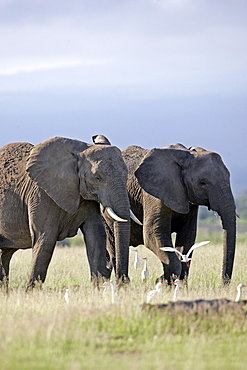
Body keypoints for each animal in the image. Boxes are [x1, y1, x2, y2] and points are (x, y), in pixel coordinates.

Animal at [0, 136, 131, 290]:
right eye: (97, 178)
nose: (123, 283)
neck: (81, 150)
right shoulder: (42, 194)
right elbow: (45, 237)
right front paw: (31, 292)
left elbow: (95, 235)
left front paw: (100, 289)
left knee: (5, 253)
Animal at [120, 143, 236, 284]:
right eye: (202, 183)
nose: (223, 285)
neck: (187, 155)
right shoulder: (154, 194)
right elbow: (153, 234)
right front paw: (162, 281)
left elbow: (187, 236)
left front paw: (167, 282)